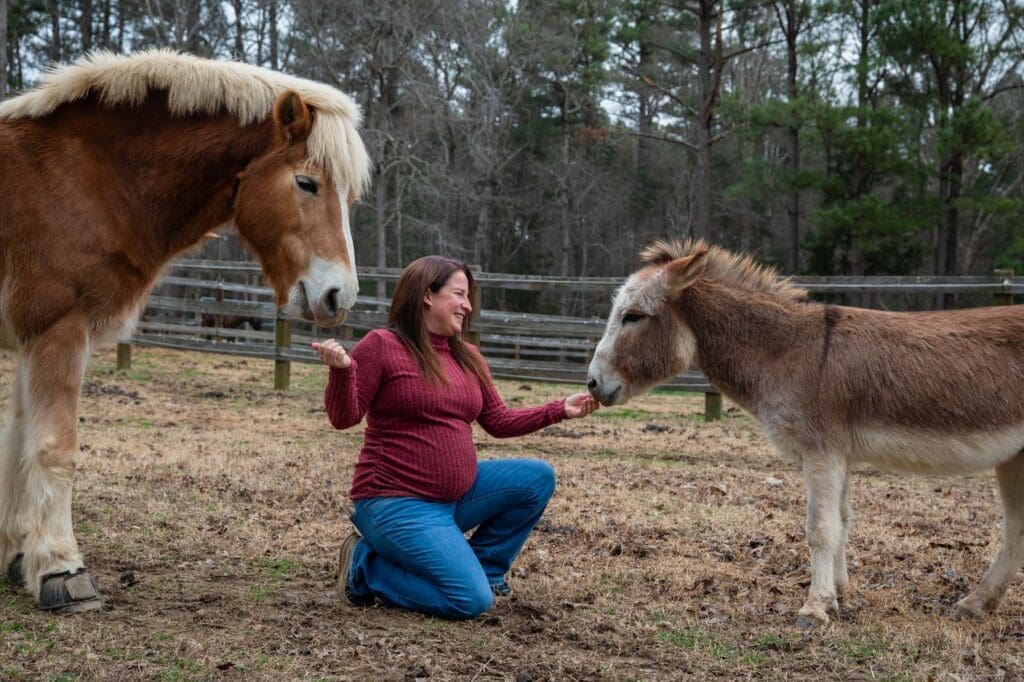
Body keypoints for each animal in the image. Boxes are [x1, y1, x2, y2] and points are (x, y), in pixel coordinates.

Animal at [0, 50, 370, 612]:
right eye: (307, 183)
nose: (339, 297)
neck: (84, 175)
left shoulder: (32, 340)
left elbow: (17, 444)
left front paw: (20, 557)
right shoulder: (57, 331)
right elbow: (54, 448)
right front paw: (62, 568)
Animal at [586, 240, 1024, 628]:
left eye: (633, 316)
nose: (592, 383)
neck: (790, 351)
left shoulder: (821, 451)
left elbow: (820, 529)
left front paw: (813, 610)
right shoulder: (838, 455)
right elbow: (843, 520)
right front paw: (837, 594)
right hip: (1014, 458)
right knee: (1016, 529)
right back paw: (977, 603)